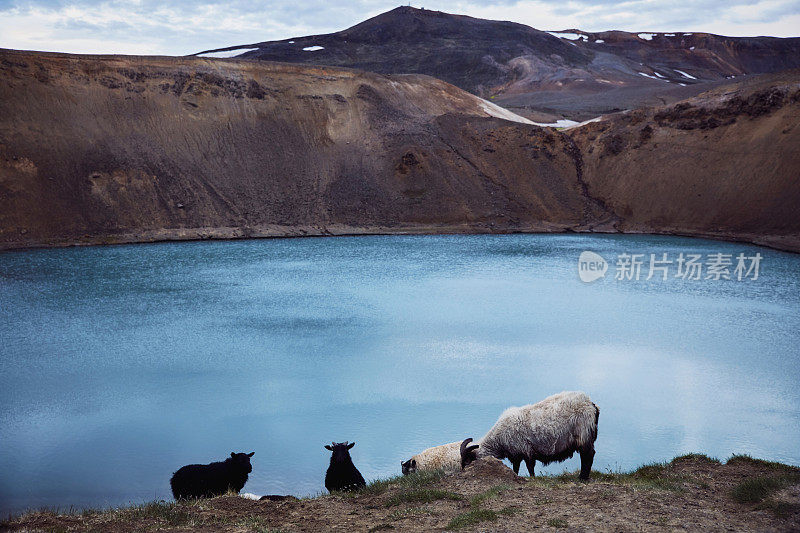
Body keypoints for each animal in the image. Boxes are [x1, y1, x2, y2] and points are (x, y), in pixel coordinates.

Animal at [460, 390, 596, 478]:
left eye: (467, 462)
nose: (462, 474)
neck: (498, 440)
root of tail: (591, 404)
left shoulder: (525, 450)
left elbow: (530, 468)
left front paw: (532, 478)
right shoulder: (516, 454)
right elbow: (516, 468)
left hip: (584, 435)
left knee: (587, 455)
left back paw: (582, 478)